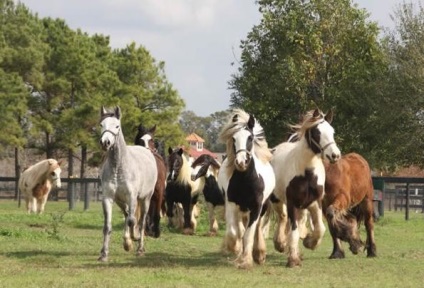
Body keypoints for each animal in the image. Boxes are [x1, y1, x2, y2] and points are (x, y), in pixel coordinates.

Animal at [219, 109, 274, 268]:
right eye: (233, 138)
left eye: (250, 137)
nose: (241, 162)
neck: (246, 181)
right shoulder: (231, 204)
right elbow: (234, 233)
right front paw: (236, 250)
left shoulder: (256, 207)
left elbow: (249, 234)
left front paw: (246, 261)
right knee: (240, 227)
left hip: (262, 207)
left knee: (257, 228)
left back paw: (259, 254)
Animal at [272, 108, 342, 268]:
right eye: (317, 132)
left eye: (332, 131)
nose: (335, 155)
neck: (307, 173)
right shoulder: (292, 204)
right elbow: (293, 231)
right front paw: (292, 259)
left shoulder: (315, 203)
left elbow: (320, 229)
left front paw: (309, 242)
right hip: (276, 200)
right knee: (282, 218)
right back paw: (279, 244)